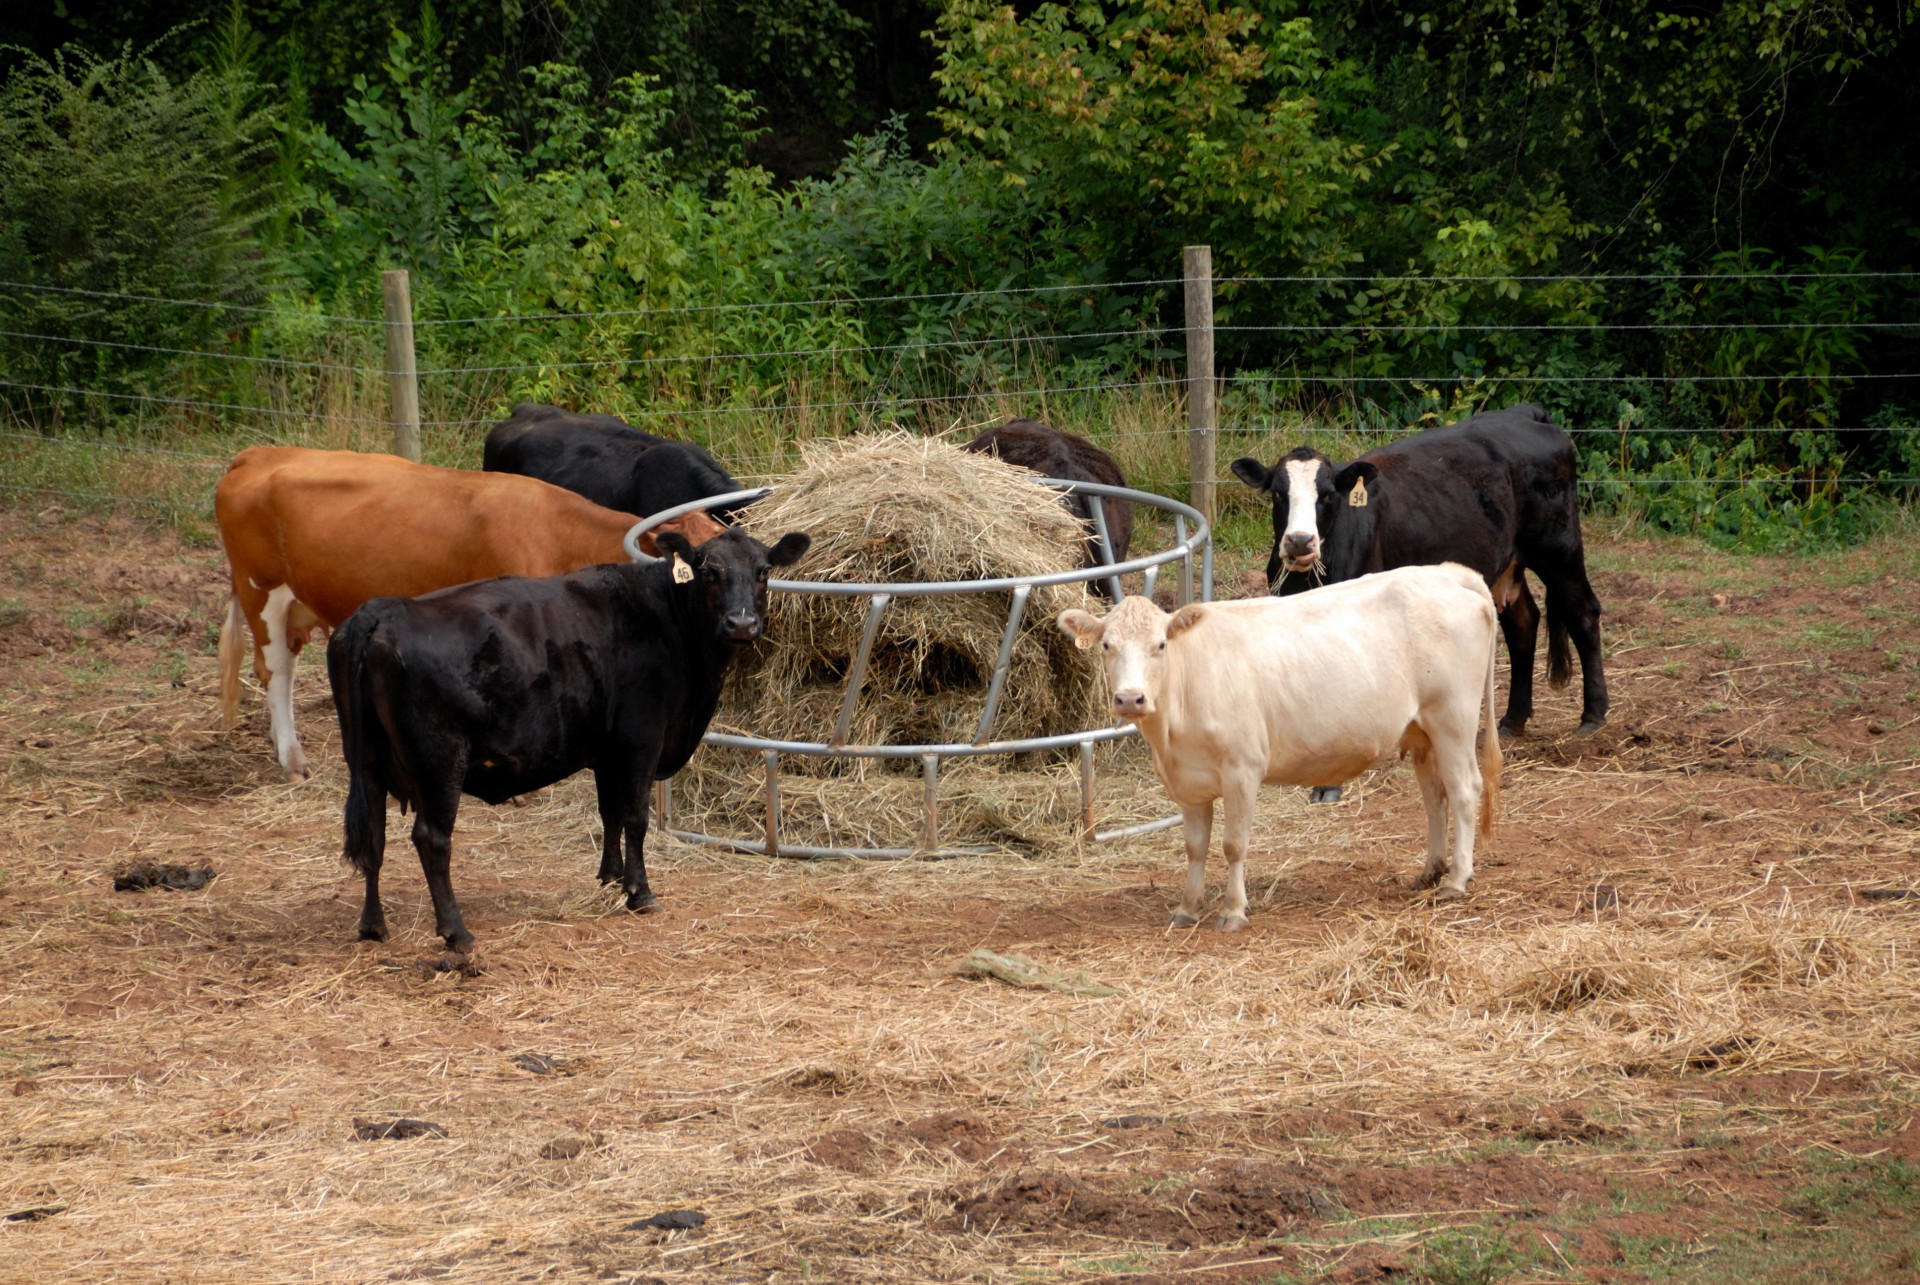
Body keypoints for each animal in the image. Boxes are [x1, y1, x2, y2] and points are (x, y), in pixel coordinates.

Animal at [212, 445, 725, 775]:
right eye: (704, 565)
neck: (558, 534)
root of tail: (259, 453)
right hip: (262, 592)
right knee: (276, 671)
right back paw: (292, 758)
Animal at [1067, 564, 1497, 925]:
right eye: (1106, 645)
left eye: (1160, 645)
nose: (1130, 698)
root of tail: (1445, 572)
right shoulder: (1188, 782)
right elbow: (1194, 846)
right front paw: (1188, 908)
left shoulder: (1243, 769)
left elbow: (1233, 845)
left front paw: (1233, 911)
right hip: (1422, 731)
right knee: (1434, 797)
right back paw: (1430, 872)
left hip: (1453, 719)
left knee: (1463, 790)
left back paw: (1456, 879)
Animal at [1228, 405, 1605, 791]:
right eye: (1278, 494)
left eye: (1328, 494)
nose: (1300, 541)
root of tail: (1524, 412)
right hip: (1509, 562)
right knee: (1523, 624)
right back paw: (1513, 719)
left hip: (1559, 549)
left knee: (1582, 613)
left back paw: (1593, 714)